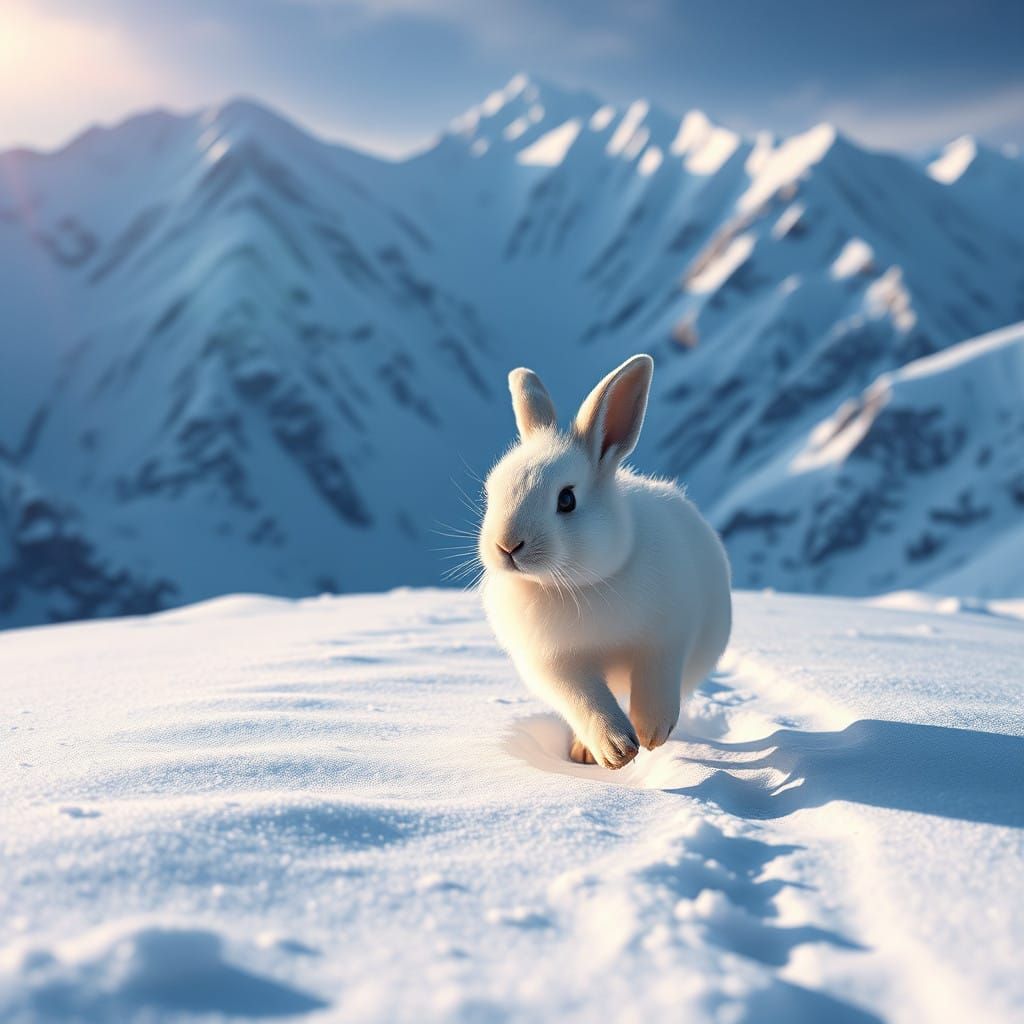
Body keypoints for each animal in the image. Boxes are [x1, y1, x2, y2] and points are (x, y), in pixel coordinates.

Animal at [478, 353, 732, 769]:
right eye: (491, 492)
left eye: (567, 500)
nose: (507, 545)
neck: (581, 584)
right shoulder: (557, 665)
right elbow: (584, 701)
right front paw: (617, 749)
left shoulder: (667, 638)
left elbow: (656, 681)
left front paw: (651, 732)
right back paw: (584, 752)